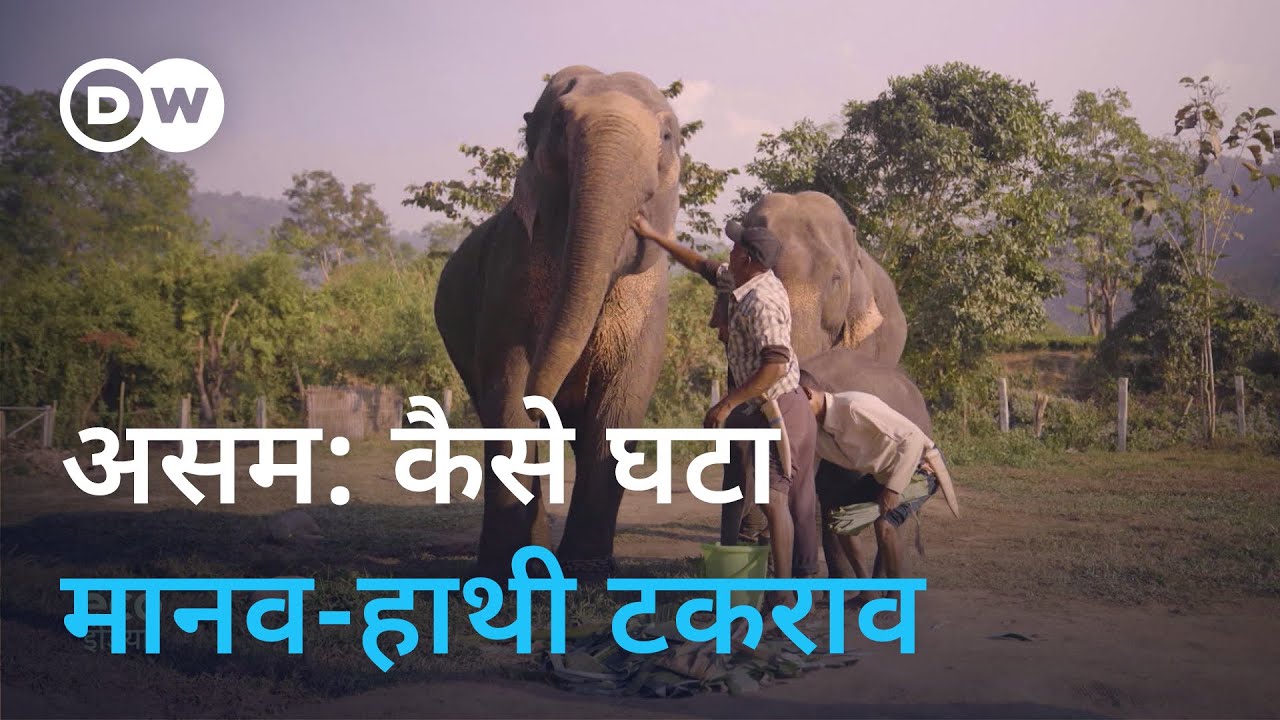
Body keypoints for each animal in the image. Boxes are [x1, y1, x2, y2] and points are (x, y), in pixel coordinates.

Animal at [433, 66, 681, 578]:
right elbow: (508, 391)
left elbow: (620, 407)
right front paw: (504, 573)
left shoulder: (650, 306)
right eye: (560, 125)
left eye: (667, 137)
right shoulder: (509, 279)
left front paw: (588, 571)